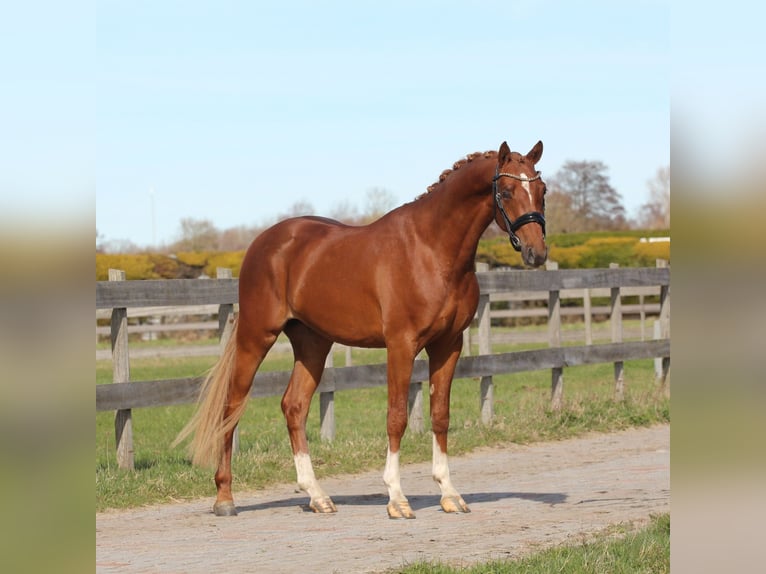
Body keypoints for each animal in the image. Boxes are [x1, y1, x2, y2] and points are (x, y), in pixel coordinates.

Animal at [174, 141, 548, 519]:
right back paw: (225, 498)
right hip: (257, 336)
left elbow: (440, 415)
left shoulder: (448, 345)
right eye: (506, 190)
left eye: (542, 191)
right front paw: (397, 498)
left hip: (313, 344)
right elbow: (396, 417)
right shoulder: (401, 345)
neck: (431, 250)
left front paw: (449, 494)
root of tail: (265, 242)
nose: (537, 253)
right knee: (231, 407)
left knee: (294, 406)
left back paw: (317, 496)